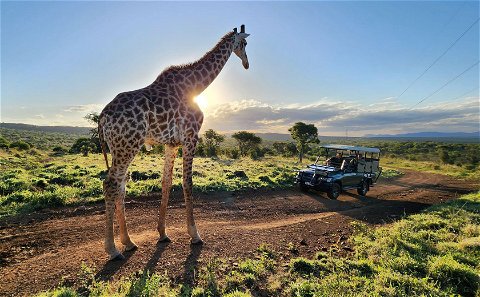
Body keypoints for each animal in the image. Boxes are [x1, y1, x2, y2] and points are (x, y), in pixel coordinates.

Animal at [98, 25, 251, 260]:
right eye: (244, 44)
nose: (246, 63)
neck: (196, 86)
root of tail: (103, 116)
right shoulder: (190, 136)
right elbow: (188, 183)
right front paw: (195, 235)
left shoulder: (171, 143)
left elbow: (166, 182)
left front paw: (162, 233)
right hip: (128, 145)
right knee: (111, 184)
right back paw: (113, 249)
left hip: (119, 147)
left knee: (121, 185)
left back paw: (128, 242)